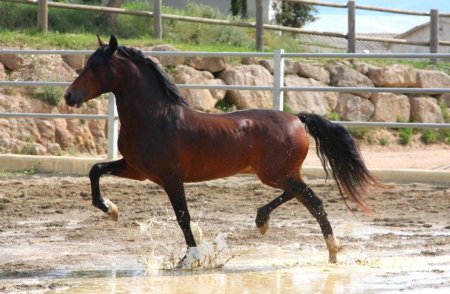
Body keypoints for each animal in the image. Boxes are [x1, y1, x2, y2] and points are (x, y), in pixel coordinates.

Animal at [63, 35, 380, 264]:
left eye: (95, 67)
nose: (69, 95)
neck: (156, 118)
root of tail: (297, 118)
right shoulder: (136, 170)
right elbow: (95, 170)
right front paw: (110, 209)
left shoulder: (171, 178)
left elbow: (183, 218)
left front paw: (191, 258)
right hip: (281, 173)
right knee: (305, 197)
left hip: (275, 174)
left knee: (312, 199)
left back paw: (309, 241)